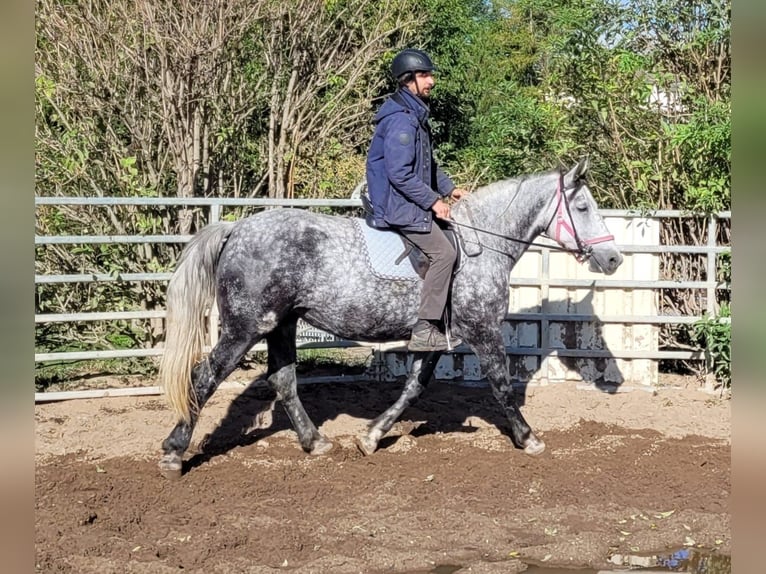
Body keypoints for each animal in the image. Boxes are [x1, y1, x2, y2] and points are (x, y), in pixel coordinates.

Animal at [156, 160, 624, 480]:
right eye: (583, 206)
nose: (613, 259)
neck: (481, 245)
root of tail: (235, 229)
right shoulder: (483, 331)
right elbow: (501, 385)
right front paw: (529, 439)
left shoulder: (436, 335)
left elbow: (414, 387)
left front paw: (371, 436)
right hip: (244, 328)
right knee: (204, 377)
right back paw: (174, 452)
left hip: (281, 325)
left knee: (283, 382)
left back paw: (316, 442)